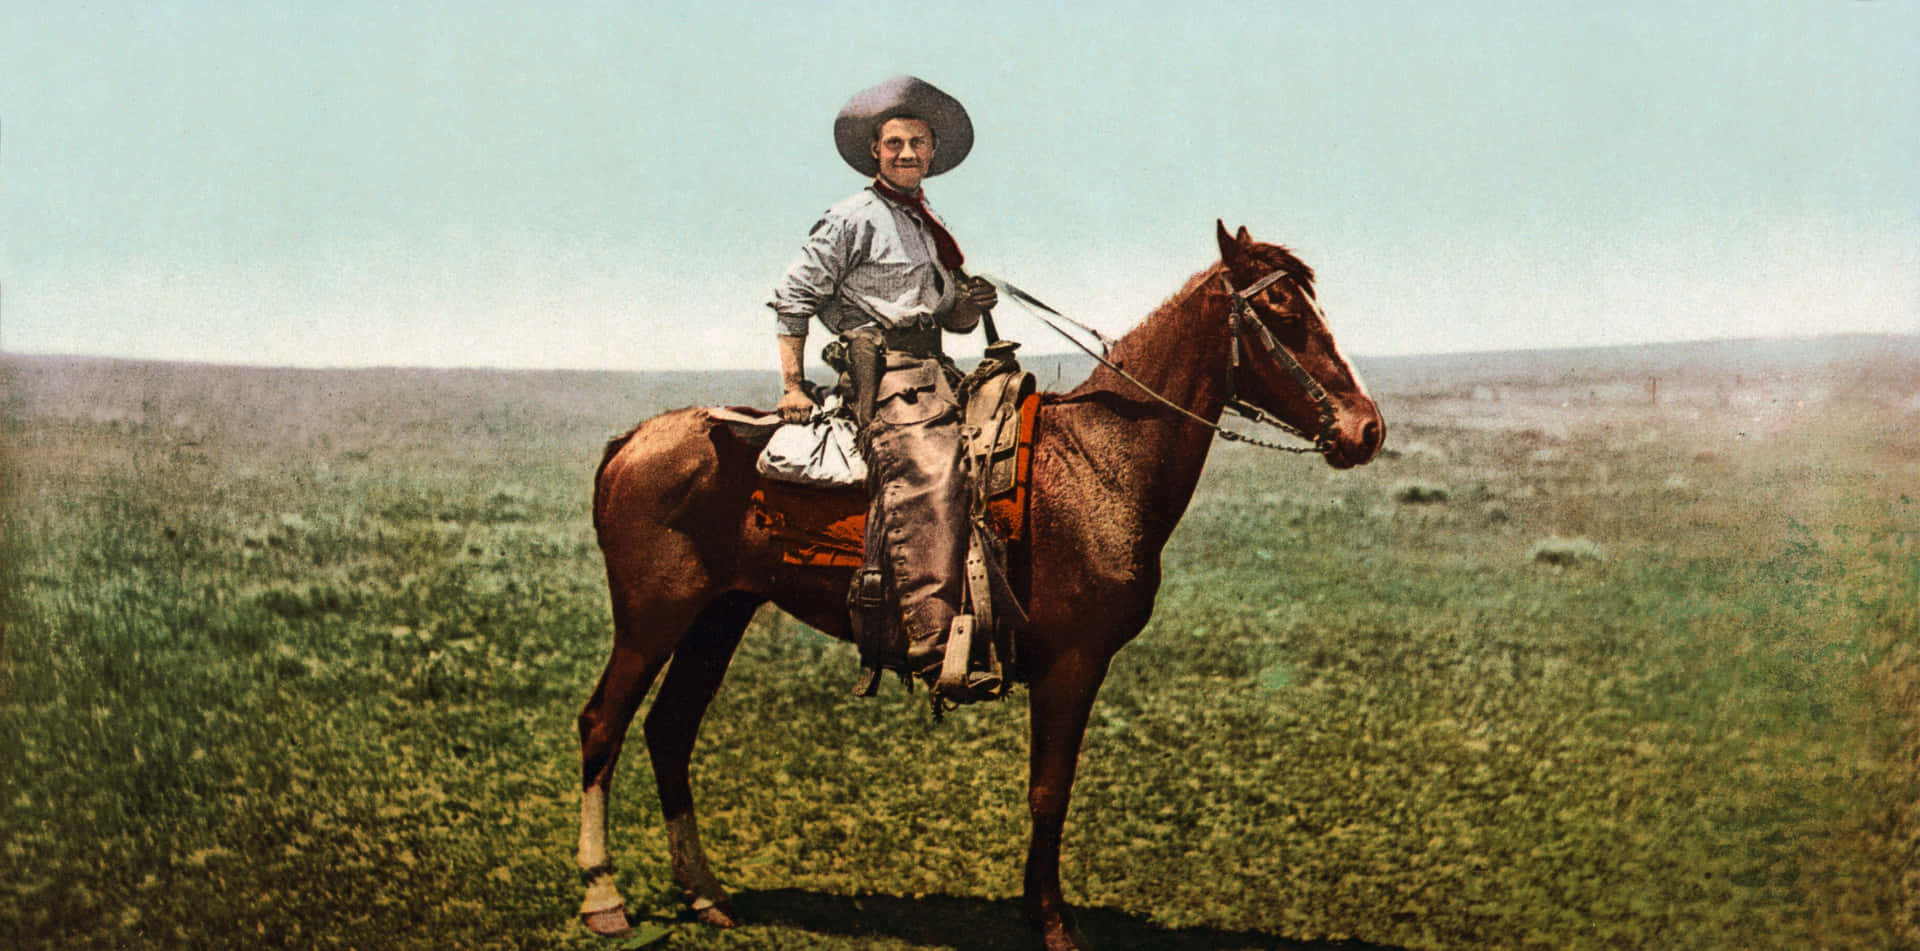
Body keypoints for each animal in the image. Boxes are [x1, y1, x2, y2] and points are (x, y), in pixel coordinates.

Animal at [568, 221, 1382, 945]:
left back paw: (705, 895)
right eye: (1285, 312)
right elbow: (1050, 788)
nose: (1366, 428)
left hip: (720, 613)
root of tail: (632, 440)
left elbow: (1049, 788)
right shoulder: (1072, 663)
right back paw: (604, 898)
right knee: (603, 723)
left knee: (670, 729)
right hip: (652, 617)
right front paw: (1052, 922)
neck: (1100, 463)